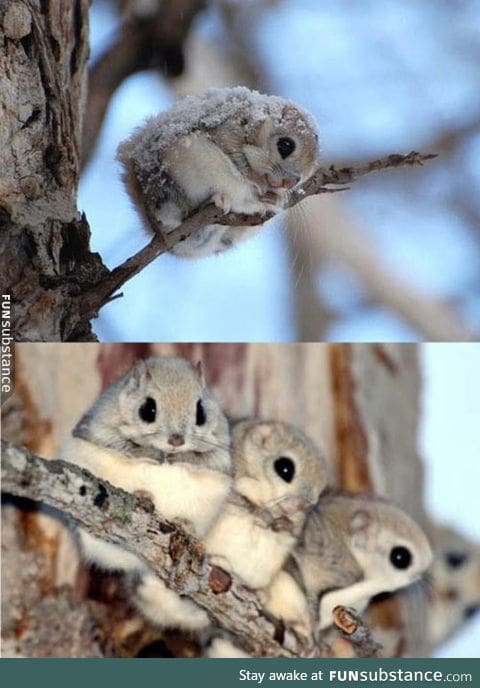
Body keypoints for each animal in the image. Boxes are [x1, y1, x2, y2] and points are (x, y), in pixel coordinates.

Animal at [59, 358, 232, 632]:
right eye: (147, 409)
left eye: (201, 412)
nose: (176, 441)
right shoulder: (97, 428)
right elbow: (121, 444)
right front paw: (150, 452)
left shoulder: (221, 454)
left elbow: (207, 459)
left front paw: (183, 456)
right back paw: (143, 497)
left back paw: (185, 530)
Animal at [116, 86, 320, 258]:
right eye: (285, 145)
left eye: (303, 177)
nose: (290, 182)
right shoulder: (228, 132)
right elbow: (239, 161)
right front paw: (258, 182)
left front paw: (277, 197)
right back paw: (217, 199)